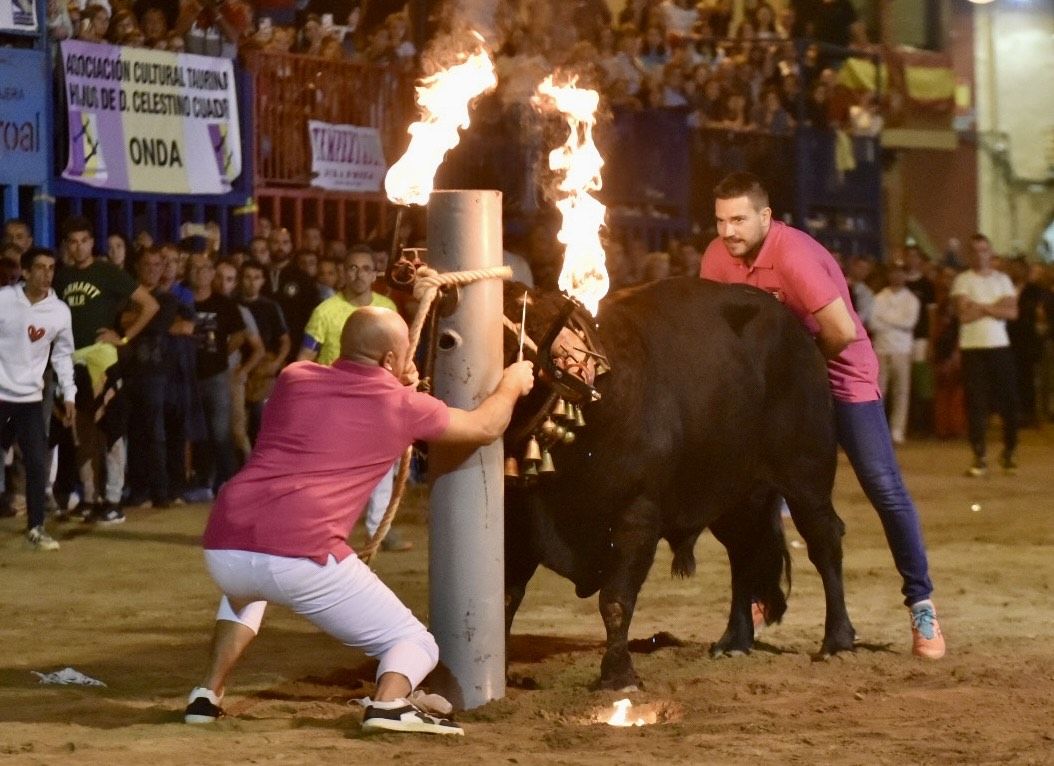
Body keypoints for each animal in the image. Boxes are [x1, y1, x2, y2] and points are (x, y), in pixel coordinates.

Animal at [499, 278, 855, 691]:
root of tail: (799, 334)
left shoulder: (638, 518)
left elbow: (615, 600)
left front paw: (618, 675)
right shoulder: (521, 523)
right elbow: (507, 595)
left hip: (807, 477)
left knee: (825, 541)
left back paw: (837, 641)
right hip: (736, 498)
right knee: (744, 554)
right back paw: (734, 640)